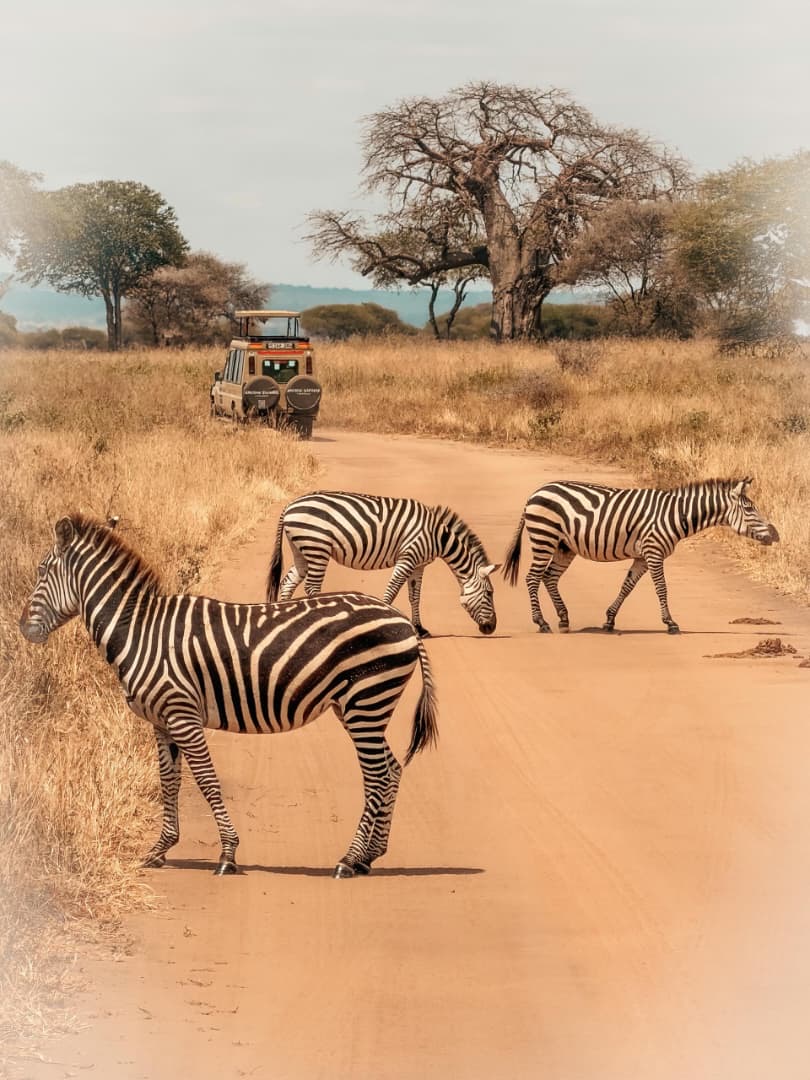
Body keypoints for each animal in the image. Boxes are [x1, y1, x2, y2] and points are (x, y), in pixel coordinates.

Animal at [20, 514, 438, 878]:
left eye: (41, 571)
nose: (23, 629)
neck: (141, 631)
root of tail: (403, 622)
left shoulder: (182, 714)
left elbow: (206, 779)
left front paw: (227, 854)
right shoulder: (161, 721)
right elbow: (168, 781)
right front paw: (160, 849)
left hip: (365, 702)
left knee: (378, 776)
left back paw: (349, 860)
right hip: (363, 707)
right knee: (392, 768)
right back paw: (370, 856)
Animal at [266, 490, 499, 638]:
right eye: (489, 593)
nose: (492, 628)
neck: (437, 537)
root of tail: (290, 506)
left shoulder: (419, 565)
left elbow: (414, 597)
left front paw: (420, 629)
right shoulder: (408, 556)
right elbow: (393, 589)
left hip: (302, 550)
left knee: (288, 582)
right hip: (317, 547)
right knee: (312, 587)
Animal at [503, 477, 779, 634]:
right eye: (749, 509)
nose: (775, 535)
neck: (676, 515)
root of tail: (535, 493)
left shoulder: (642, 556)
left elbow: (627, 586)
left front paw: (609, 620)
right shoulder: (654, 551)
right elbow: (661, 588)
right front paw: (670, 623)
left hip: (564, 546)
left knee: (549, 577)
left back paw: (563, 619)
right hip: (545, 536)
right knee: (532, 578)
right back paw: (541, 622)